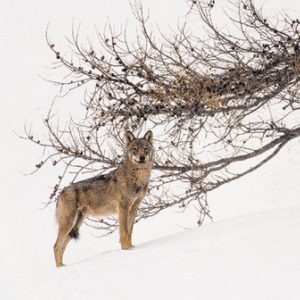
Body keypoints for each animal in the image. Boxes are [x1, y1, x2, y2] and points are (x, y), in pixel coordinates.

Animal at [52, 130, 154, 266]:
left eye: (145, 149)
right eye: (135, 149)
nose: (142, 157)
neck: (136, 178)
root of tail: (60, 193)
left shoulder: (133, 208)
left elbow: (130, 232)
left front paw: (131, 249)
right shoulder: (123, 208)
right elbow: (124, 233)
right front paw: (126, 251)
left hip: (76, 225)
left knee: (61, 247)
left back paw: (62, 267)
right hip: (69, 224)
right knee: (56, 246)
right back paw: (60, 267)